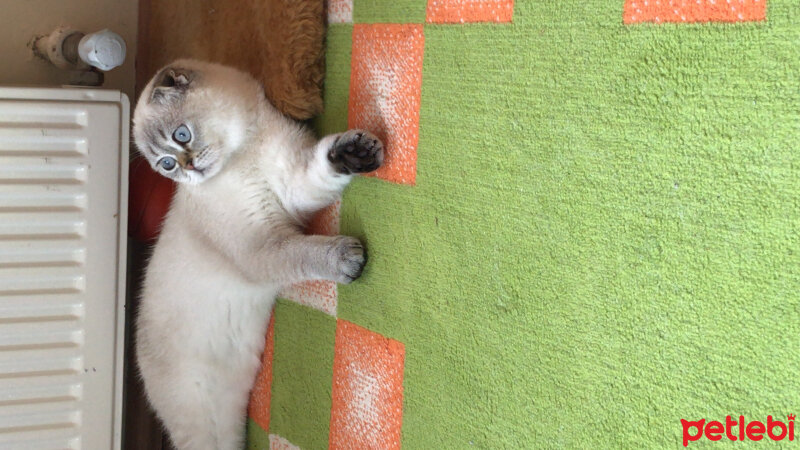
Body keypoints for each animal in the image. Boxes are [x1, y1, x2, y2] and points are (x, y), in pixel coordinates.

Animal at [133, 60, 382, 450]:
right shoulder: (262, 248)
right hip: (201, 426)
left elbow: (324, 166)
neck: (244, 152)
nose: (189, 168)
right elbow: (305, 253)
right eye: (167, 165)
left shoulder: (294, 185)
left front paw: (355, 154)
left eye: (181, 136)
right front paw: (348, 259)